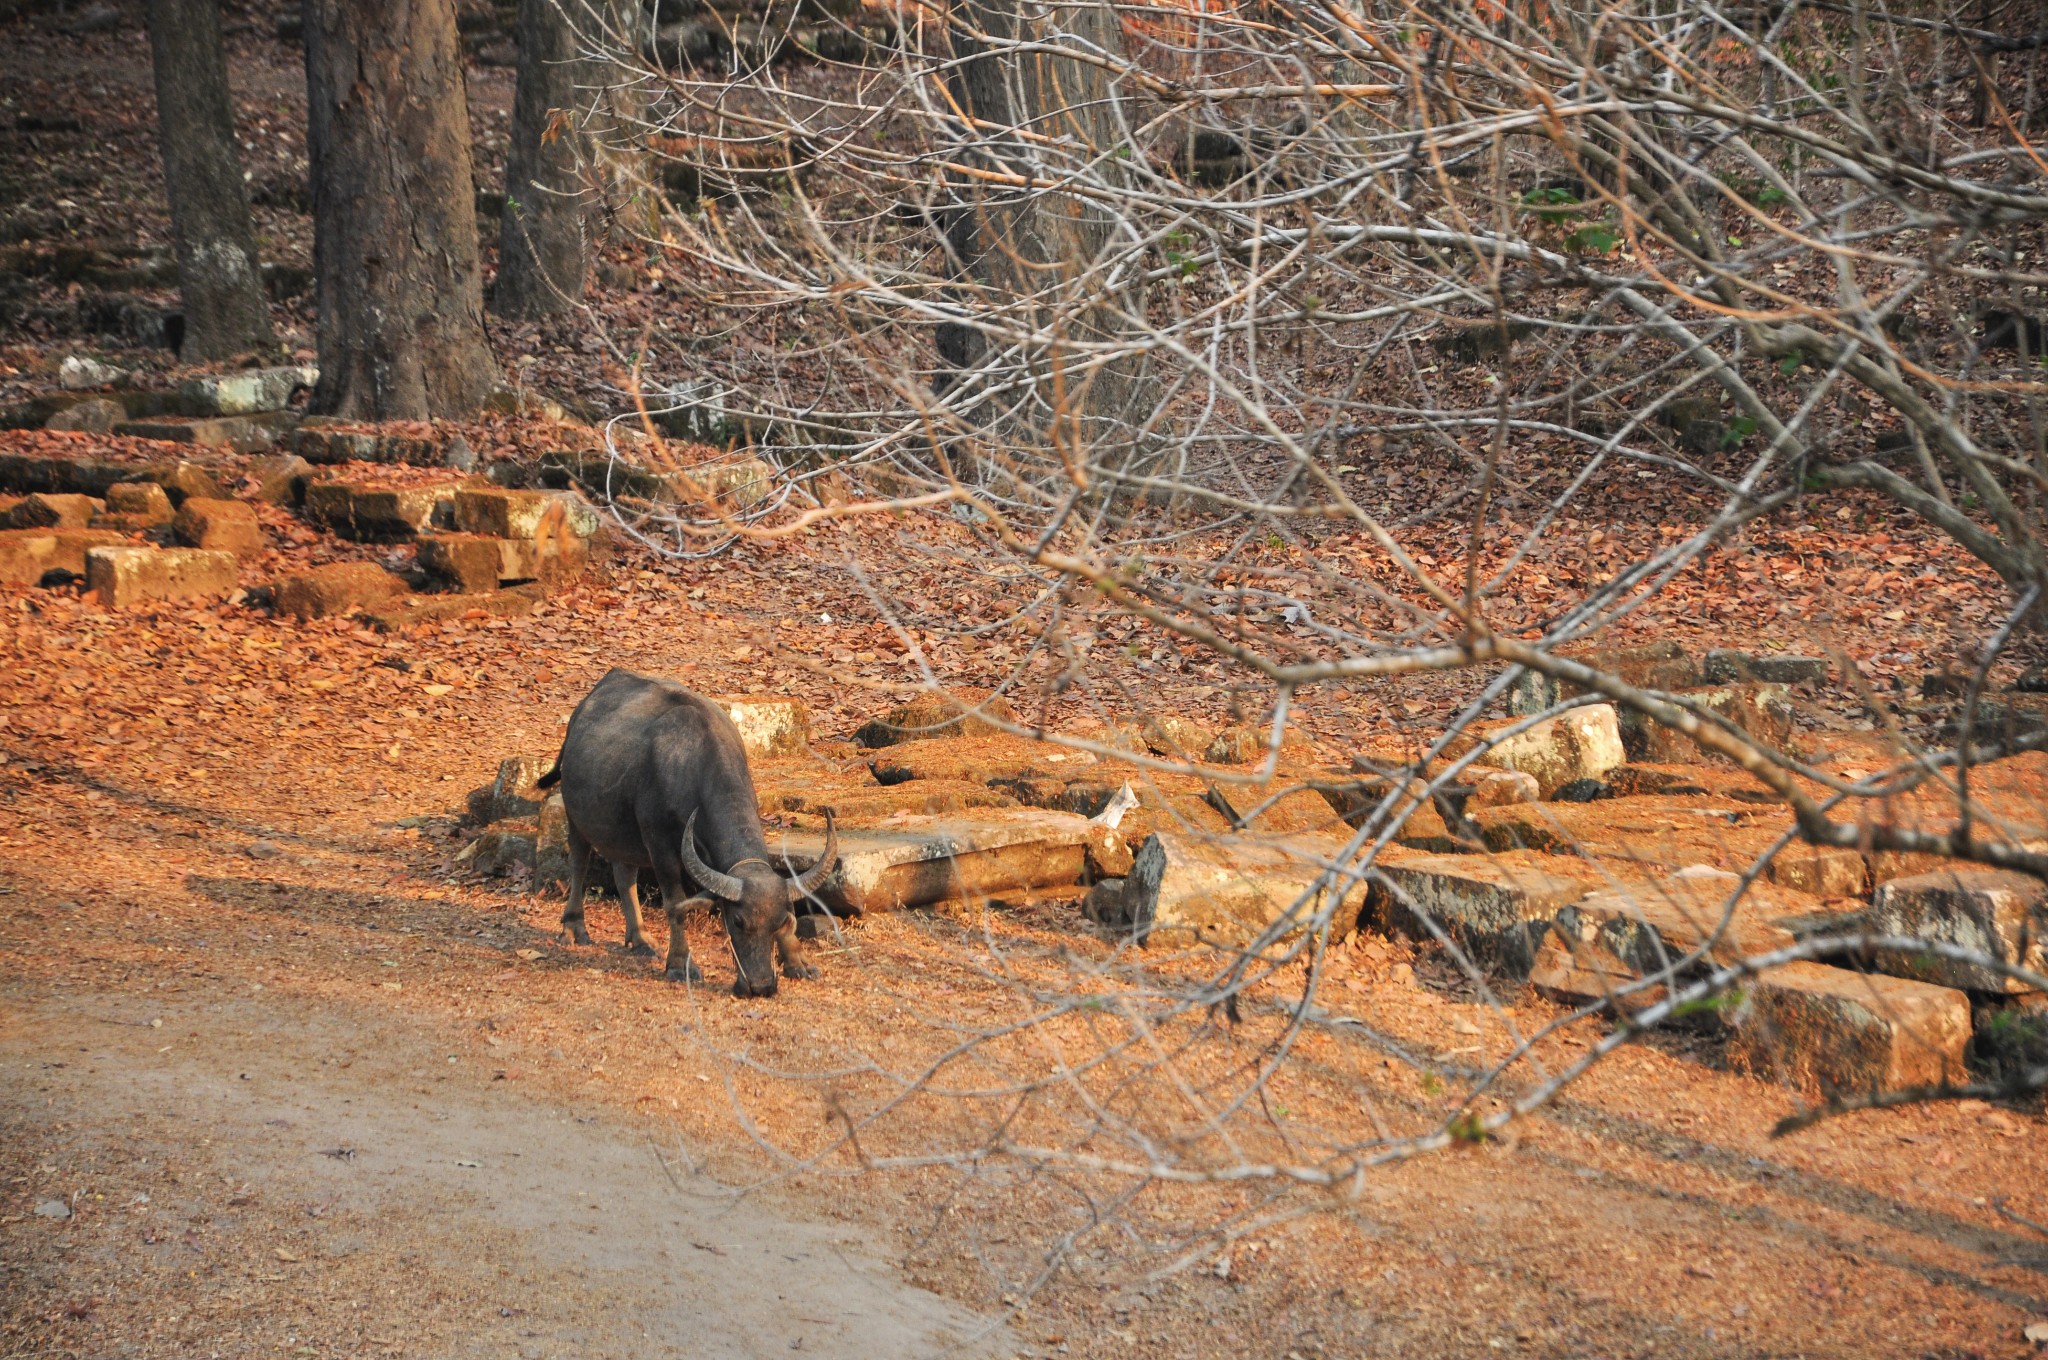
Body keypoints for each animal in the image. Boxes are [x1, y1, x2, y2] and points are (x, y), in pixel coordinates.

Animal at [540, 667, 843, 999]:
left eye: (781, 921)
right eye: (737, 921)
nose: (761, 986)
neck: (691, 764)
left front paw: (799, 962)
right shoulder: (659, 845)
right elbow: (676, 905)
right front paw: (679, 963)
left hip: (622, 830)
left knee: (624, 874)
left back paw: (640, 938)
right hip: (575, 815)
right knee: (579, 863)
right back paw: (574, 928)